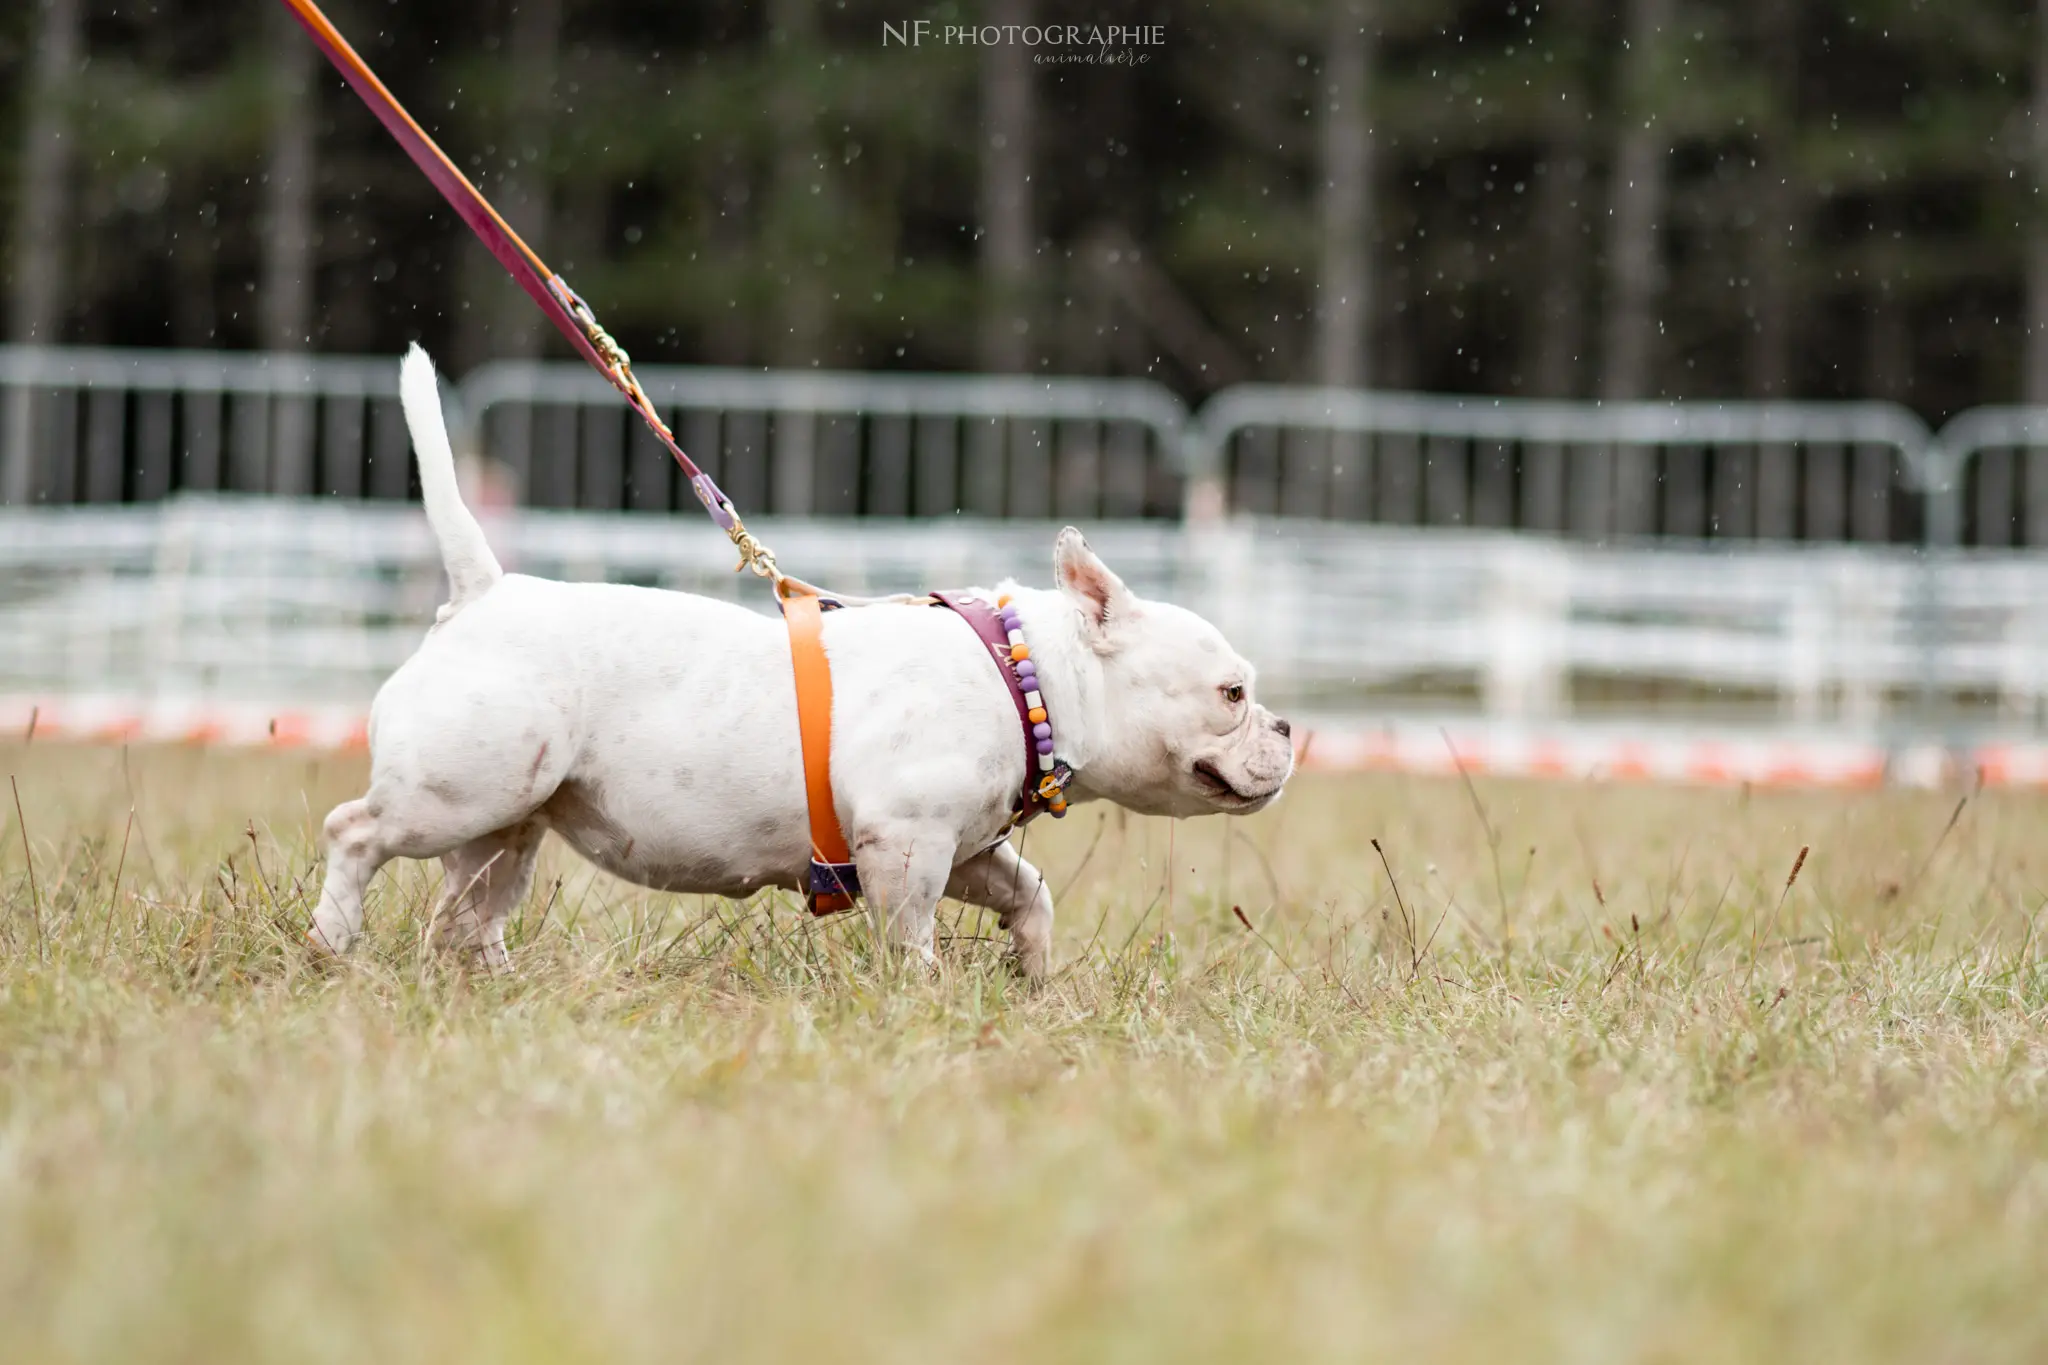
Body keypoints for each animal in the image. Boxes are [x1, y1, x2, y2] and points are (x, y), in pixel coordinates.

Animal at [309, 347, 1286, 978]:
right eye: (1231, 692)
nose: (1283, 726)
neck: (1031, 674)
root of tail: (483, 592)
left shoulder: (965, 847)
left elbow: (1031, 892)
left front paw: (1032, 976)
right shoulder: (907, 840)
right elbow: (911, 935)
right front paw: (920, 998)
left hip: (510, 821)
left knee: (469, 904)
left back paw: (493, 981)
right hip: (458, 790)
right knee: (357, 833)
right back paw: (333, 942)